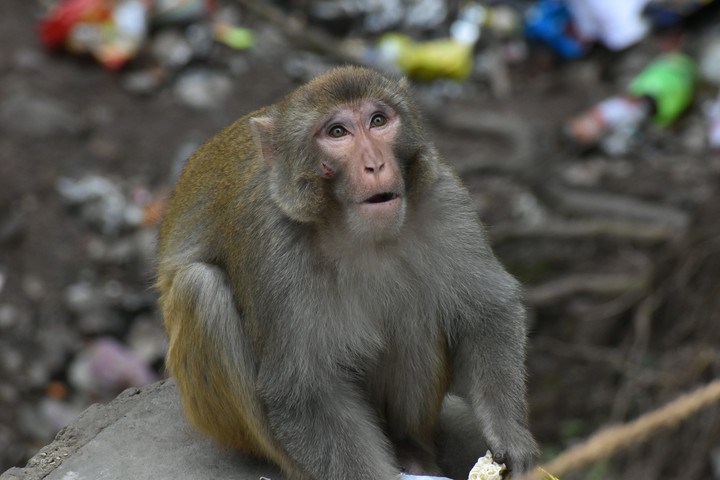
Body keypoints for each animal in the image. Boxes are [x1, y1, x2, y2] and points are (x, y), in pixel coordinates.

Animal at [157, 66, 538, 479]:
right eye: (337, 132)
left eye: (378, 121)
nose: (375, 164)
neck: (350, 230)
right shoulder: (274, 246)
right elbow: (305, 392)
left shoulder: (444, 196)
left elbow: (487, 310)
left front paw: (509, 436)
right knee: (200, 288)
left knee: (414, 316)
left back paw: (412, 449)